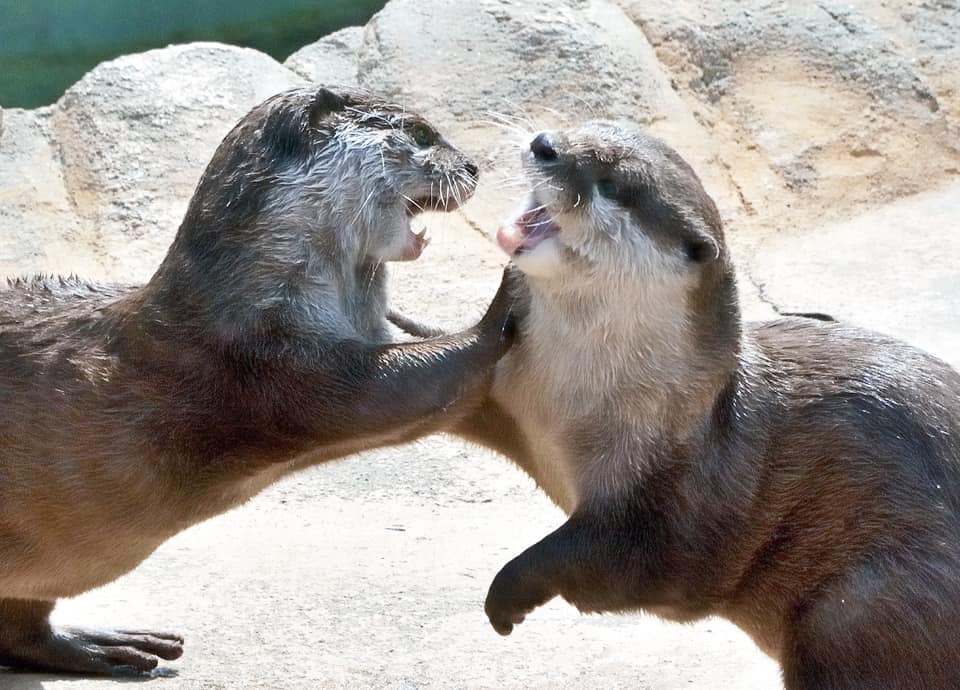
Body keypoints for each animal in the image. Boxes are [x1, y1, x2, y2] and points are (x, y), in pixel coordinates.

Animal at [0, 85, 512, 676]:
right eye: (421, 133)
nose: (472, 166)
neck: (256, 289)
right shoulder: (264, 362)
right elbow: (387, 387)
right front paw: (504, 301)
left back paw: (111, 645)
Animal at [453, 124, 960, 689]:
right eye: (578, 129)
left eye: (611, 185)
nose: (545, 143)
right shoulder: (517, 402)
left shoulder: (675, 509)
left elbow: (617, 562)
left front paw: (508, 594)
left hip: (863, 613)